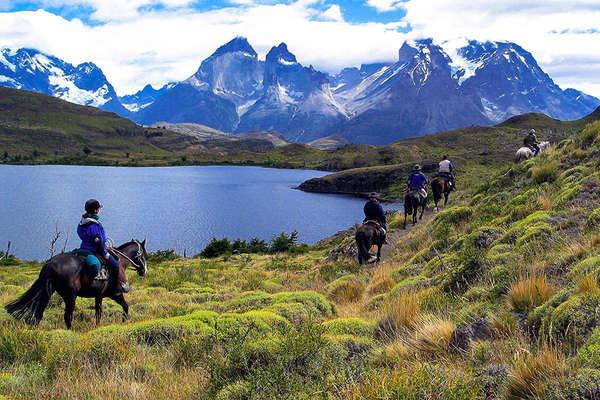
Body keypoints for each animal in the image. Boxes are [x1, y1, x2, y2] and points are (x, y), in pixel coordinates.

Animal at [5, 241, 148, 328]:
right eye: (144, 255)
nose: (144, 271)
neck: (121, 261)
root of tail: (50, 264)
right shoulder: (116, 293)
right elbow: (125, 306)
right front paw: (123, 322)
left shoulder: (99, 296)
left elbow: (98, 313)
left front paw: (96, 327)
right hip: (70, 296)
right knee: (67, 316)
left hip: (47, 293)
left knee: (39, 313)